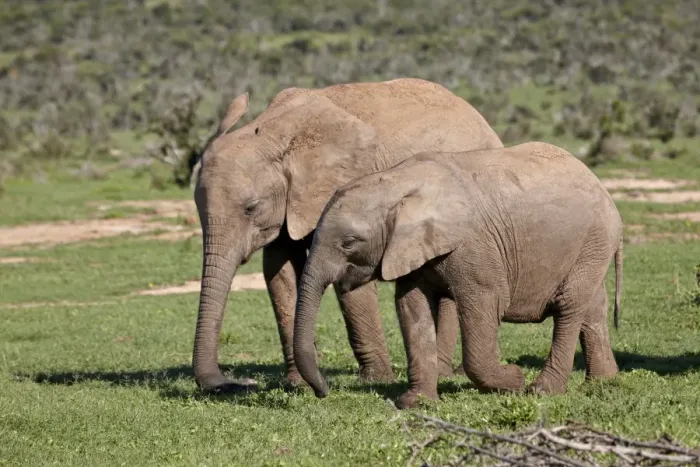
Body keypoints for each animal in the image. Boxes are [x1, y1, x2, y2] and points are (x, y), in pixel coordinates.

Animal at [191, 78, 504, 393]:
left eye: (251, 208)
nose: (234, 383)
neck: (273, 130)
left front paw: (376, 380)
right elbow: (279, 271)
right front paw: (297, 385)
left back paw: (444, 374)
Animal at [292, 141, 623, 409]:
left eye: (349, 242)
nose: (323, 392)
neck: (396, 183)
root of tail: (603, 189)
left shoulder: (474, 245)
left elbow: (485, 303)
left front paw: (514, 380)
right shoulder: (411, 249)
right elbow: (411, 308)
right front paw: (416, 404)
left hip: (594, 238)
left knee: (569, 307)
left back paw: (543, 391)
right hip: (591, 248)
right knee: (592, 307)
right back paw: (603, 383)